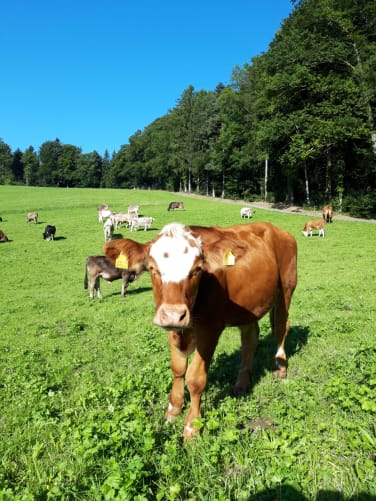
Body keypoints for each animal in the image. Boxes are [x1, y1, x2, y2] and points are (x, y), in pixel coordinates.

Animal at [104, 221, 298, 436]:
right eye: (153, 268)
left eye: (197, 269)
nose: (174, 314)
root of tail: (273, 227)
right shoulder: (172, 327)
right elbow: (178, 369)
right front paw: (173, 409)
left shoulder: (210, 330)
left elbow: (195, 379)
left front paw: (192, 426)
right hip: (249, 306)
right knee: (250, 339)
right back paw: (241, 384)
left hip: (287, 288)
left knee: (280, 326)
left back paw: (281, 367)